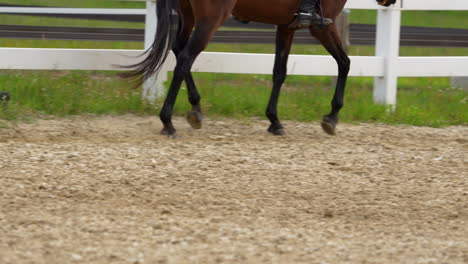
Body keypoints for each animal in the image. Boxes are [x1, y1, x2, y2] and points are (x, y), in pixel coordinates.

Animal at [126, 0, 396, 137]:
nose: (391, 1)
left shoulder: (287, 26)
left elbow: (279, 71)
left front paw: (274, 120)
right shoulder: (322, 26)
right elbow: (344, 63)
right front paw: (332, 117)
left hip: (190, 15)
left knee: (179, 49)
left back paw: (195, 109)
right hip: (210, 20)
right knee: (184, 59)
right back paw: (167, 121)